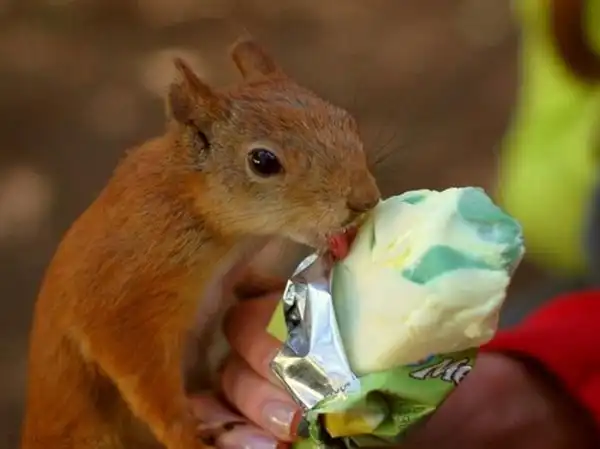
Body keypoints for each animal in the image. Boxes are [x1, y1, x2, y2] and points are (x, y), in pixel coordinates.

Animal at [20, 38, 381, 449]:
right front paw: (186, 435)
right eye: (263, 161)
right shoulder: (123, 305)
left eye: (345, 118)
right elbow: (146, 384)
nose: (366, 198)